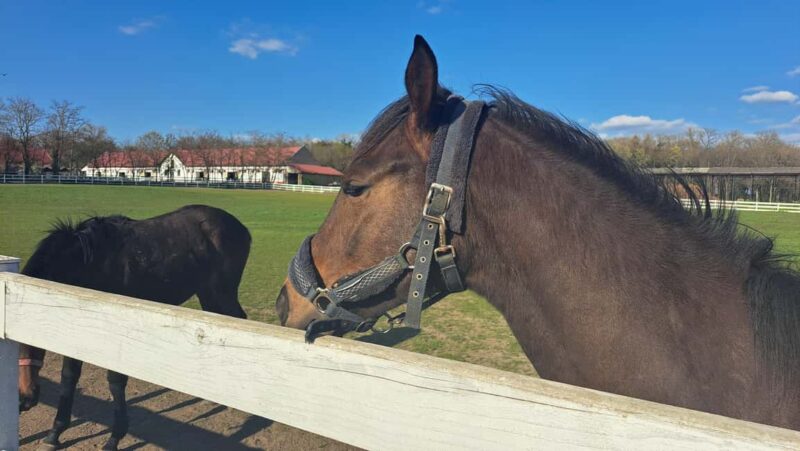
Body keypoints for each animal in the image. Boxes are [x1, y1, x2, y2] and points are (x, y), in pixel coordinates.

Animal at [18, 204, 251, 450]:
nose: (25, 397)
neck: (90, 264)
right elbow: (69, 377)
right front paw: (55, 432)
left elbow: (115, 381)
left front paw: (114, 437)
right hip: (208, 294)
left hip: (221, 292)